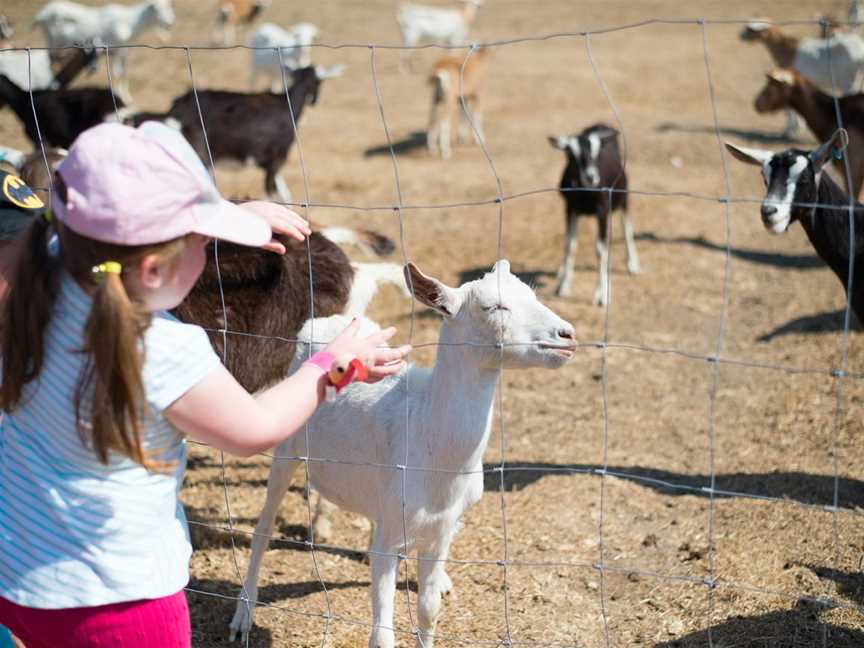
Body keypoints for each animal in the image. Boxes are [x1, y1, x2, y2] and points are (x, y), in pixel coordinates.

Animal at [32, 0, 176, 104]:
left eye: (169, 7)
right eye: (156, 10)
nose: (170, 22)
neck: (131, 23)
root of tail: (41, 15)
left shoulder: (123, 52)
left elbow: (123, 73)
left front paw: (126, 96)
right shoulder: (113, 51)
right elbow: (116, 73)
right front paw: (118, 95)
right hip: (53, 43)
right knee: (52, 63)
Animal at [233, 260, 576, 648]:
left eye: (533, 295)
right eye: (494, 307)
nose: (566, 335)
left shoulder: (441, 531)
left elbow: (428, 611)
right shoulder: (396, 532)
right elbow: (382, 634)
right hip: (286, 446)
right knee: (263, 528)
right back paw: (243, 616)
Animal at [552, 124, 636, 306]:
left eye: (598, 154)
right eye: (571, 154)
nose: (591, 177)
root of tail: (601, 125)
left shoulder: (602, 212)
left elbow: (600, 250)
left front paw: (601, 295)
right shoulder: (570, 209)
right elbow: (569, 246)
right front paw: (563, 286)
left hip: (623, 196)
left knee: (626, 226)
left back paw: (633, 264)